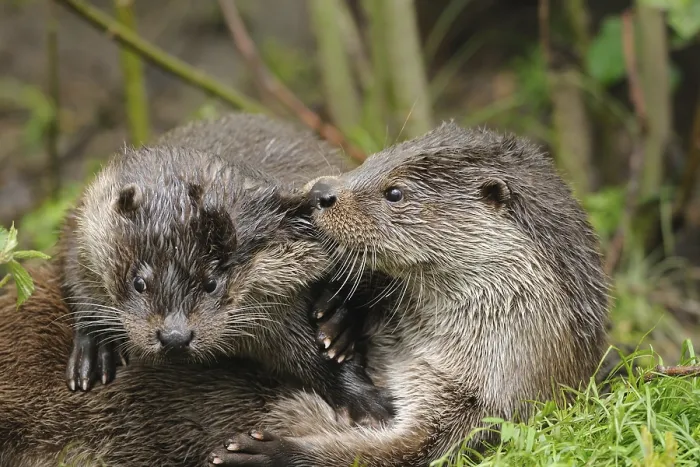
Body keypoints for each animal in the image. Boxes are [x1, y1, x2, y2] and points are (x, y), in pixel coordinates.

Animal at [59, 113, 392, 423]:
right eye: (139, 282)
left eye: (212, 283)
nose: (174, 337)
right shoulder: (84, 223)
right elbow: (75, 272)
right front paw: (95, 346)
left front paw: (368, 403)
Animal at [212, 122, 610, 466]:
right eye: (372, 159)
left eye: (395, 193)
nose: (320, 192)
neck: (423, 347)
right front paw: (340, 318)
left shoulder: (477, 410)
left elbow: (391, 454)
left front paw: (271, 454)